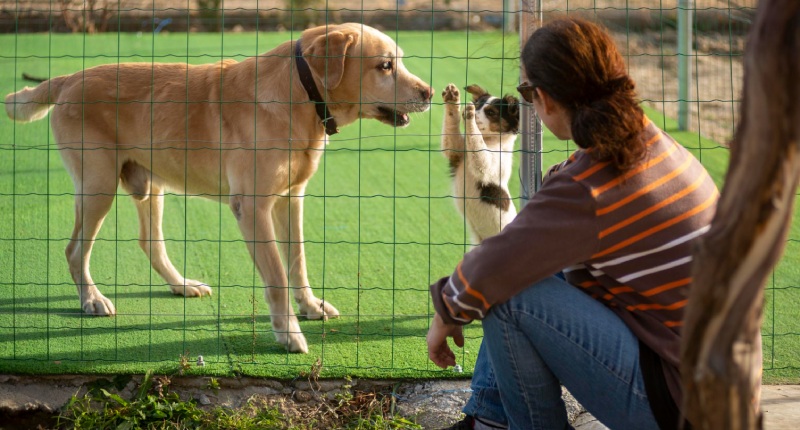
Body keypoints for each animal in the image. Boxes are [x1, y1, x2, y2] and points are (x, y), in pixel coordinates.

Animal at [4, 22, 432, 352]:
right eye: (385, 65)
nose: (430, 93)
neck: (299, 93)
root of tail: (67, 79)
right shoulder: (253, 208)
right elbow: (277, 276)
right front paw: (288, 333)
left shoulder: (290, 200)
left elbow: (298, 261)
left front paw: (309, 306)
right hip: (97, 188)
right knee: (75, 250)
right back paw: (92, 299)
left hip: (149, 186)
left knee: (150, 243)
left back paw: (181, 285)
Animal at [440, 84, 520, 245]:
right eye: (477, 106)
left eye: (491, 112)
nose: (472, 109)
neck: (490, 140)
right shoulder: (456, 151)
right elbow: (452, 127)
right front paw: (452, 97)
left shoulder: (486, 165)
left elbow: (477, 143)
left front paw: (469, 115)